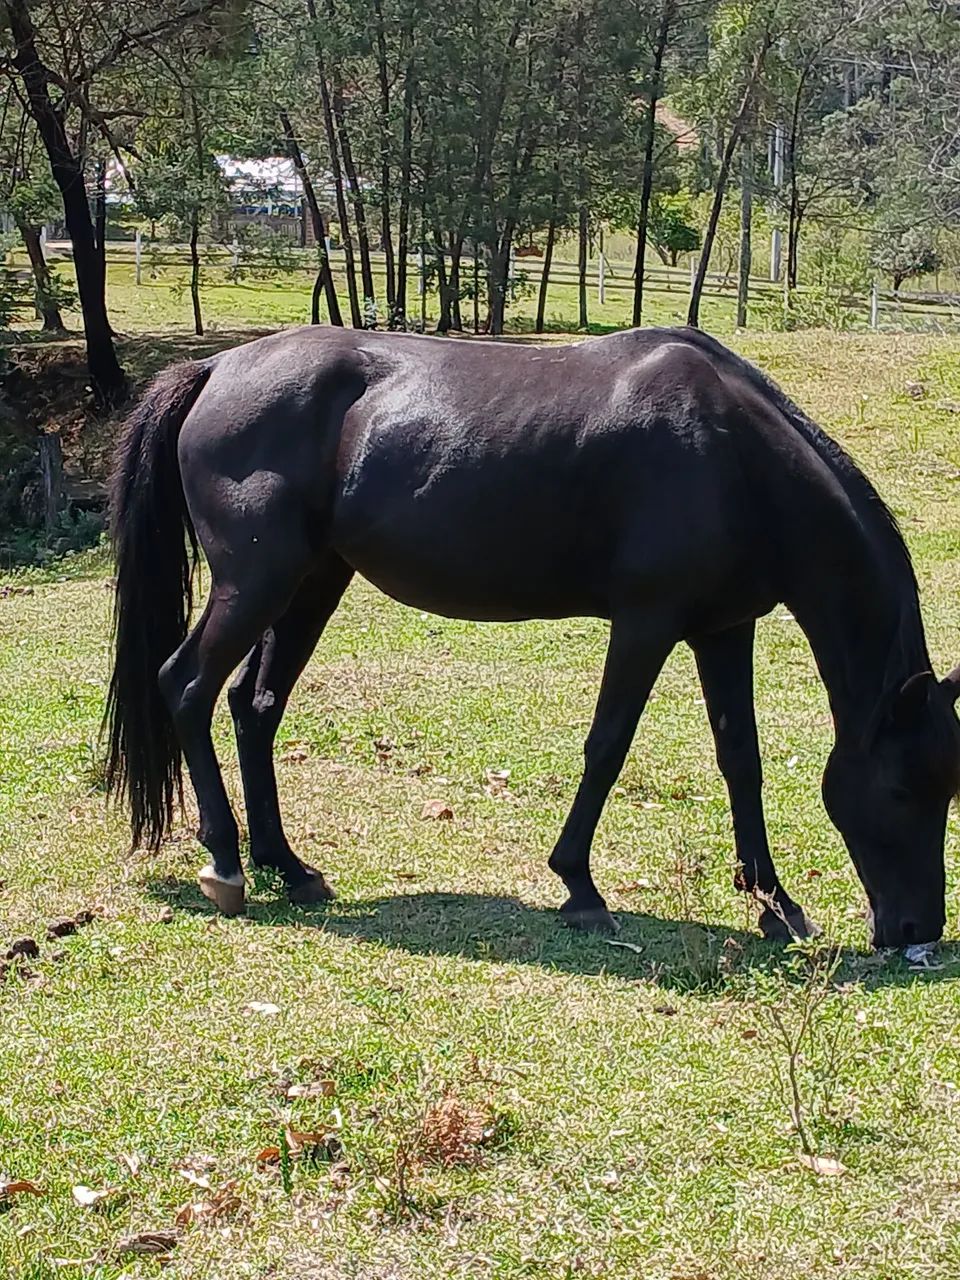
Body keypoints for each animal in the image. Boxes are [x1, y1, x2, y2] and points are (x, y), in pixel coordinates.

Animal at [105, 325, 960, 949]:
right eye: (902, 789)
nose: (915, 931)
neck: (735, 456)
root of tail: (217, 367)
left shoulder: (724, 630)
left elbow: (739, 762)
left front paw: (776, 904)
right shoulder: (646, 621)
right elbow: (607, 747)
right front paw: (579, 886)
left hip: (312, 583)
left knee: (255, 706)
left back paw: (287, 866)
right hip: (256, 585)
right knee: (187, 685)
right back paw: (226, 863)